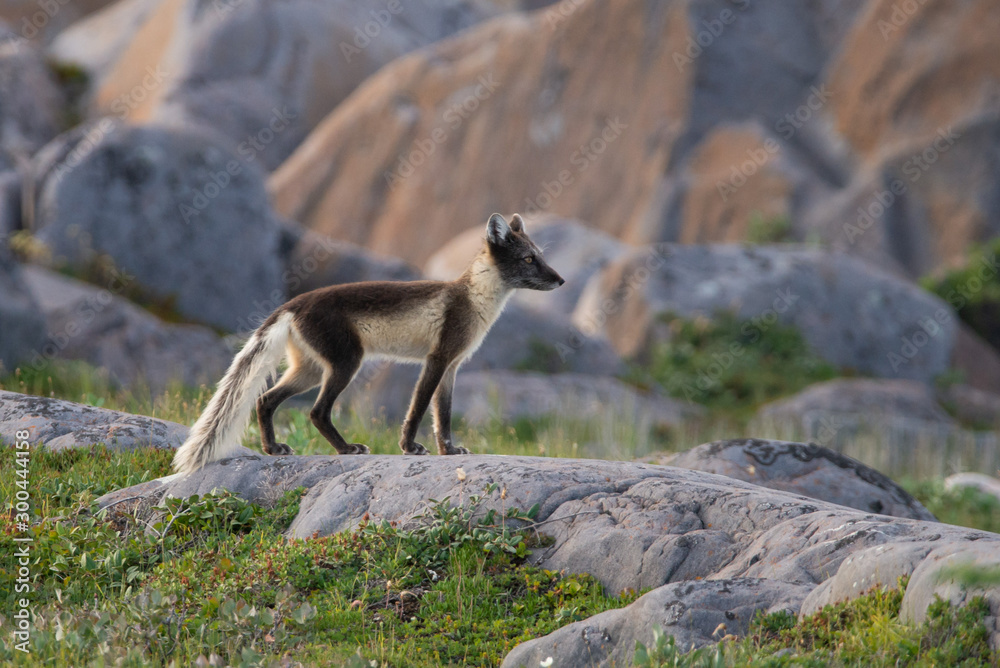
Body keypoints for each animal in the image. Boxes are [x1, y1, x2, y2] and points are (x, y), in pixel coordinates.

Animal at [173, 213, 565, 474]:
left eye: (541, 256)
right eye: (529, 259)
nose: (560, 280)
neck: (475, 299)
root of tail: (291, 304)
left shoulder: (453, 366)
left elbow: (444, 416)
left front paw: (448, 451)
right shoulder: (436, 360)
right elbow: (418, 410)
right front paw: (409, 447)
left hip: (309, 371)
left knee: (265, 400)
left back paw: (273, 448)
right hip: (347, 364)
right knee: (316, 412)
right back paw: (347, 449)